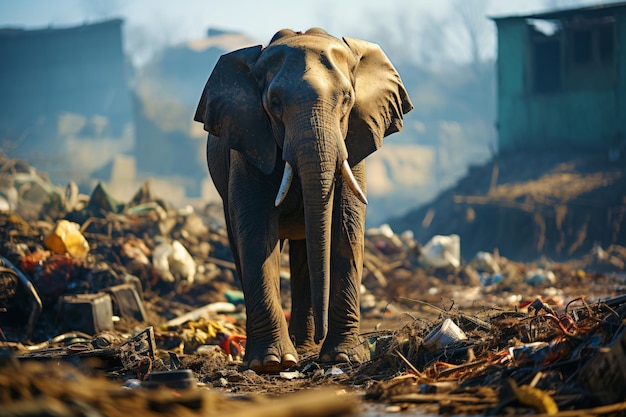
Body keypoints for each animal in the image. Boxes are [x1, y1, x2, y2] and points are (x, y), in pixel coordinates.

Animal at [194, 27, 410, 372]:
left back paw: (305, 345)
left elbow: (346, 228)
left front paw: (343, 357)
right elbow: (256, 231)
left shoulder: (354, 143)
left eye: (347, 99)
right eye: (274, 102)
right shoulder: (249, 145)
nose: (323, 334)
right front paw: (272, 363)